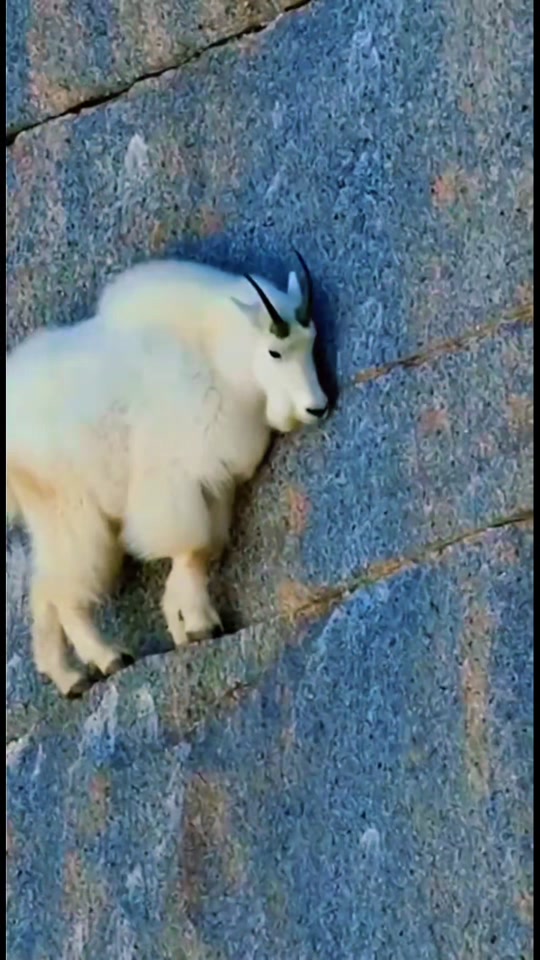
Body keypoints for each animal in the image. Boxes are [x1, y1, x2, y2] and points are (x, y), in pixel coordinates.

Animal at [6, 253, 329, 698]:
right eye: (275, 352)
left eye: (311, 341)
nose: (317, 407)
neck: (217, 360)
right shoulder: (174, 478)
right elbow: (189, 544)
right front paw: (198, 625)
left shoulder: (217, 482)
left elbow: (204, 549)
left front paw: (182, 622)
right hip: (70, 506)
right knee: (64, 589)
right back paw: (108, 657)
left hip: (48, 514)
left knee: (43, 589)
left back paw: (68, 677)